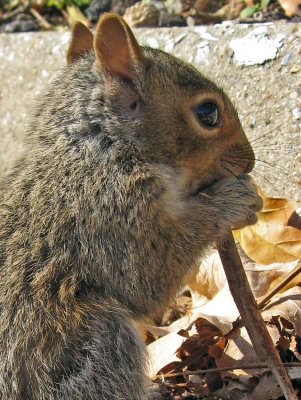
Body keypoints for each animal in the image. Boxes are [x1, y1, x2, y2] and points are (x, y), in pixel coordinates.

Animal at [0, 13, 262, 400]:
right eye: (207, 112)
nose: (250, 161)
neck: (98, 148)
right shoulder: (106, 217)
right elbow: (148, 275)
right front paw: (234, 200)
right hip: (94, 346)